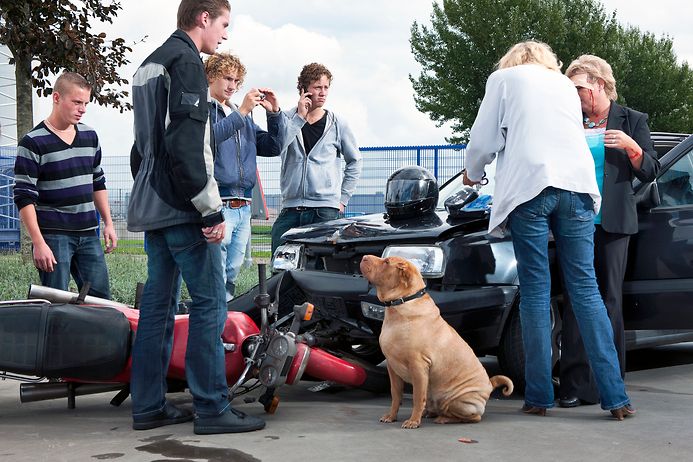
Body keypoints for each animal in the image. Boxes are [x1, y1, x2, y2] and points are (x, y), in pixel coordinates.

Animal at [360, 254, 510, 428]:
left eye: (386, 262)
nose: (364, 257)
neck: (402, 303)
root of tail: (489, 386)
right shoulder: (393, 368)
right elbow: (395, 396)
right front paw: (391, 416)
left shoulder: (419, 367)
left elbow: (418, 398)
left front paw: (413, 421)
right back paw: (431, 413)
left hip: (461, 403)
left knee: (472, 417)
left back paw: (443, 418)